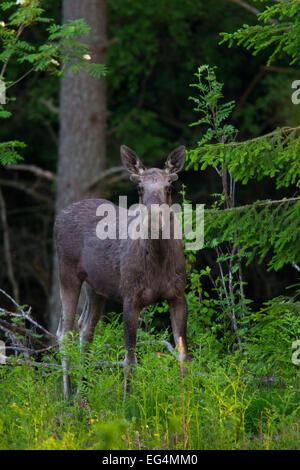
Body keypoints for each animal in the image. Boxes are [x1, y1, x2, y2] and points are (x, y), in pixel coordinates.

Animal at [55, 144, 189, 396]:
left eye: (170, 186)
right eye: (139, 187)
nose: (153, 219)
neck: (158, 262)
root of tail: (60, 214)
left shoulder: (178, 295)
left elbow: (183, 356)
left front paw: (189, 397)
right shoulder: (130, 297)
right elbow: (130, 361)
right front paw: (129, 401)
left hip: (95, 287)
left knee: (85, 329)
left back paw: (82, 393)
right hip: (66, 273)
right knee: (65, 333)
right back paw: (67, 395)